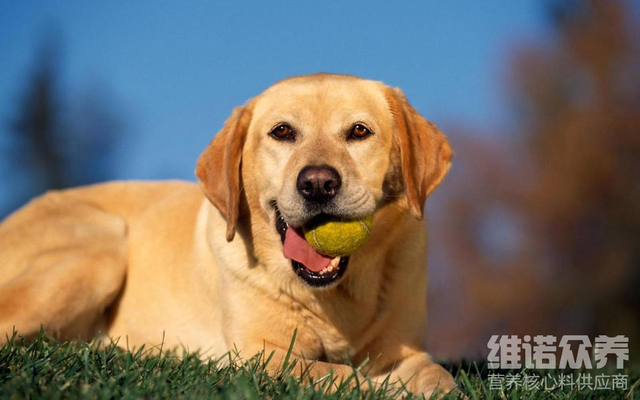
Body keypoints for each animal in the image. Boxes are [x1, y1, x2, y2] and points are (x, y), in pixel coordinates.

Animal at [2, 73, 458, 396]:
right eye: (282, 132)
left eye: (359, 131)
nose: (317, 183)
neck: (335, 298)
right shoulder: (261, 354)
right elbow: (339, 374)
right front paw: (379, 388)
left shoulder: (404, 350)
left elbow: (438, 377)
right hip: (102, 247)